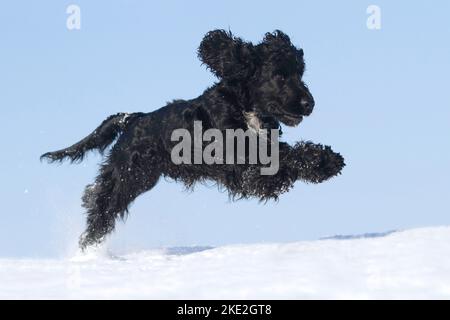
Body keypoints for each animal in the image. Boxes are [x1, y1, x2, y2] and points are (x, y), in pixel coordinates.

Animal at [41, 30, 344, 249]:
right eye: (279, 75)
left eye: (301, 73)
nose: (309, 103)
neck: (244, 106)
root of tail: (133, 118)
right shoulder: (246, 168)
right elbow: (286, 158)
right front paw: (326, 161)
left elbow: (284, 154)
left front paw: (325, 160)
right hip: (128, 176)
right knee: (102, 204)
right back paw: (88, 246)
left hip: (139, 177)